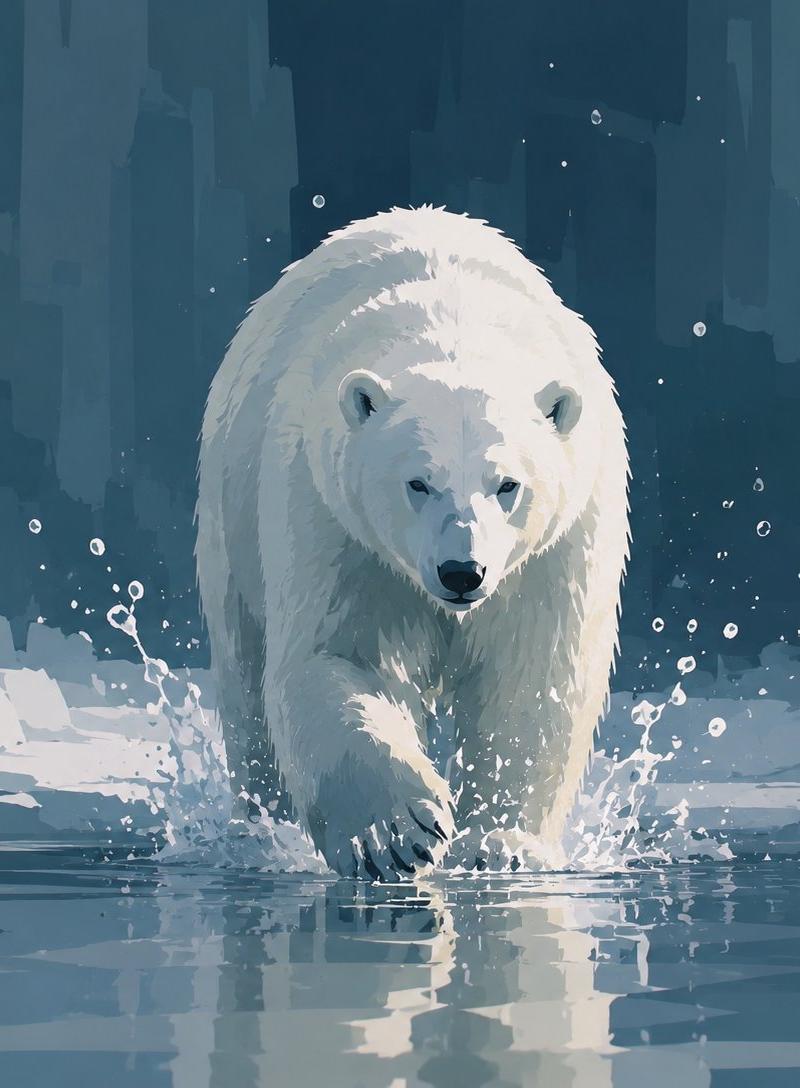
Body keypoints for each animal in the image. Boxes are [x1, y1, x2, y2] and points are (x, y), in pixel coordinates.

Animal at [196, 206, 629, 879]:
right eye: (418, 483)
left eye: (508, 484)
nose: (462, 572)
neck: (456, 324)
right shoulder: (337, 524)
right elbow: (344, 656)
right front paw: (399, 831)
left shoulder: (556, 547)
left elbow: (531, 676)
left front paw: (499, 844)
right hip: (230, 509)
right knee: (245, 678)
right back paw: (257, 830)